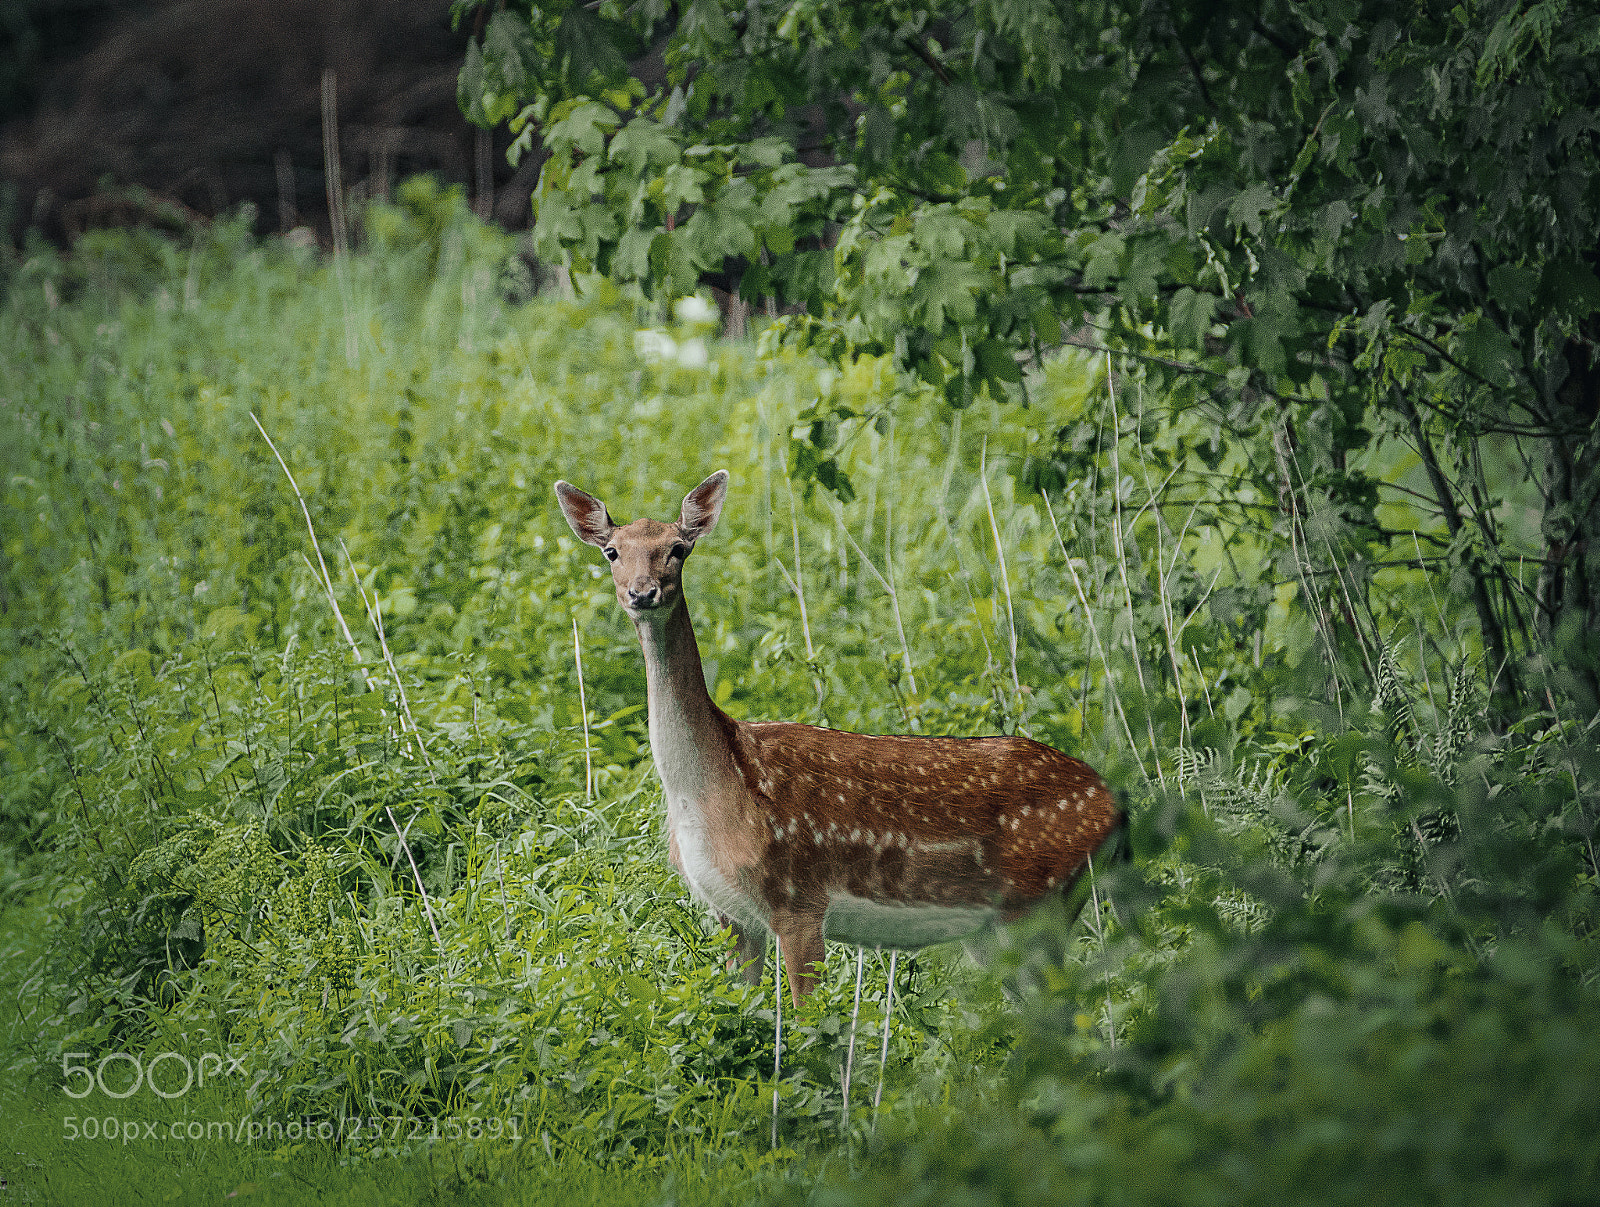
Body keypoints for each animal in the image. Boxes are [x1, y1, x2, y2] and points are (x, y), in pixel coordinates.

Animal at [554, 469, 1125, 1008]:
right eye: (612, 551)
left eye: (677, 547)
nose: (642, 592)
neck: (712, 786)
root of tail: (1116, 805)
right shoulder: (730, 915)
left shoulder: (799, 900)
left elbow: (806, 1020)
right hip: (997, 932)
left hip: (1040, 904)